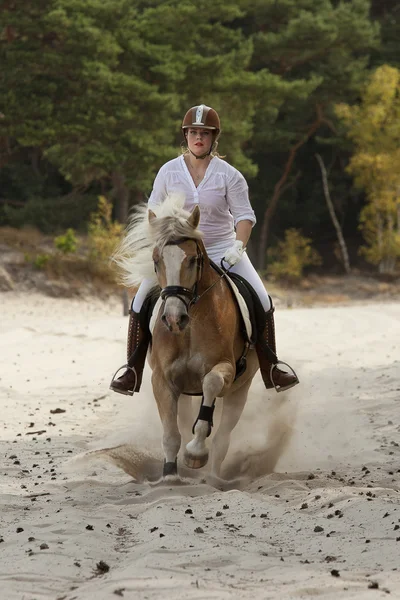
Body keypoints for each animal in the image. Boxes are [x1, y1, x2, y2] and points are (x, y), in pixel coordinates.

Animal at [115, 195, 260, 480]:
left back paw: (212, 477)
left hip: (240, 390)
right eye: (156, 260)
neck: (190, 328)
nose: (174, 318)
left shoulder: (225, 369)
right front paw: (170, 476)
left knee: (223, 438)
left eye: (193, 260)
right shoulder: (163, 379)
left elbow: (211, 384)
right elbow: (171, 434)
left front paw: (196, 453)